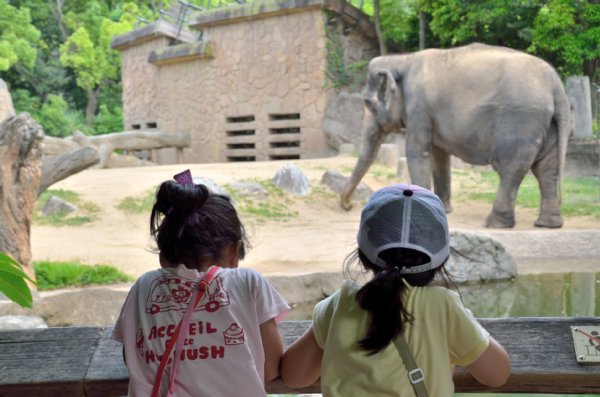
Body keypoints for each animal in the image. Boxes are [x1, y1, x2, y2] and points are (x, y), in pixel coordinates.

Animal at [342, 41, 572, 227]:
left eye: (367, 102)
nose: (349, 205)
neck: (403, 59)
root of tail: (556, 85)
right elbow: (439, 157)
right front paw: (442, 209)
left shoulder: (419, 108)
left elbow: (418, 153)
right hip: (550, 125)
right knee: (547, 170)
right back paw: (548, 224)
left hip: (521, 121)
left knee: (511, 169)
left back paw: (495, 224)